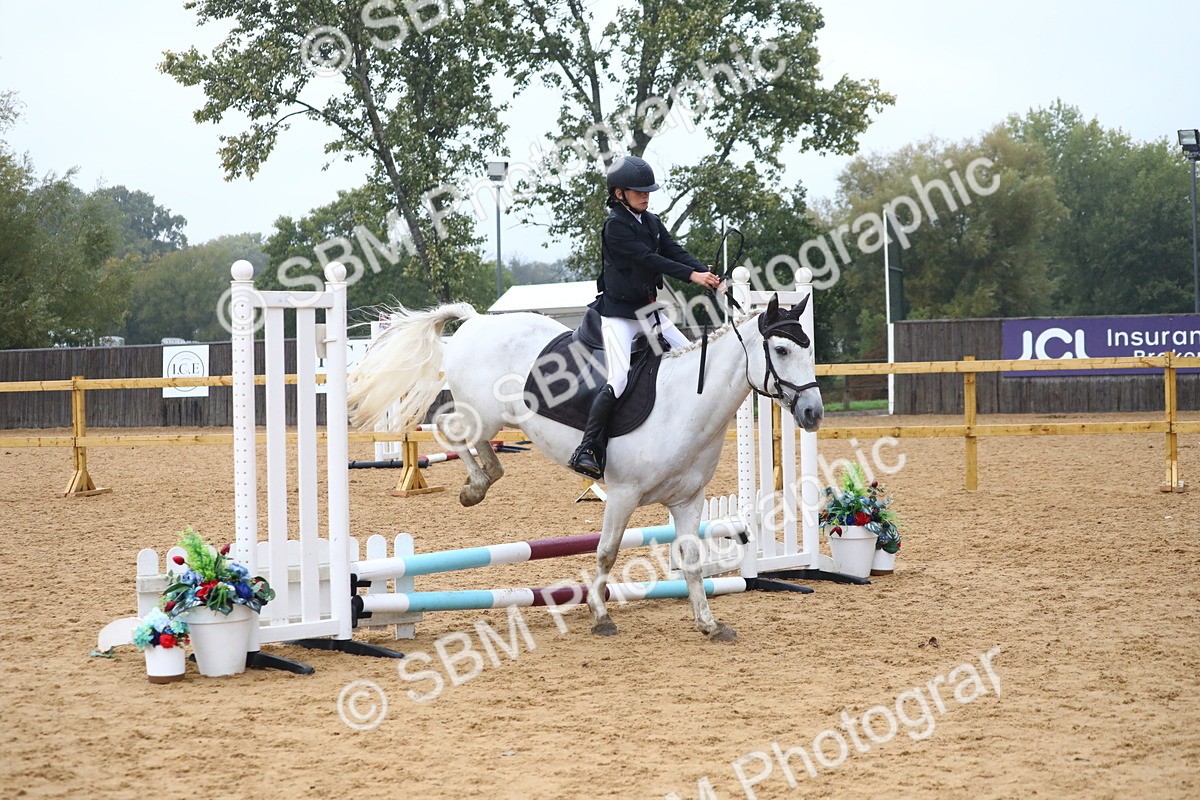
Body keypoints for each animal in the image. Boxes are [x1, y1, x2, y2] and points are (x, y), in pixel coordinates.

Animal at [347, 293, 823, 642]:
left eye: (808, 349)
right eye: (781, 349)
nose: (814, 413)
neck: (686, 404)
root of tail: (476, 320)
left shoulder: (688, 500)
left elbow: (690, 560)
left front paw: (708, 623)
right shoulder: (623, 494)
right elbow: (607, 552)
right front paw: (599, 614)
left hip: (496, 418)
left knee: (479, 448)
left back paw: (484, 477)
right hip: (480, 412)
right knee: (449, 430)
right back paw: (474, 487)